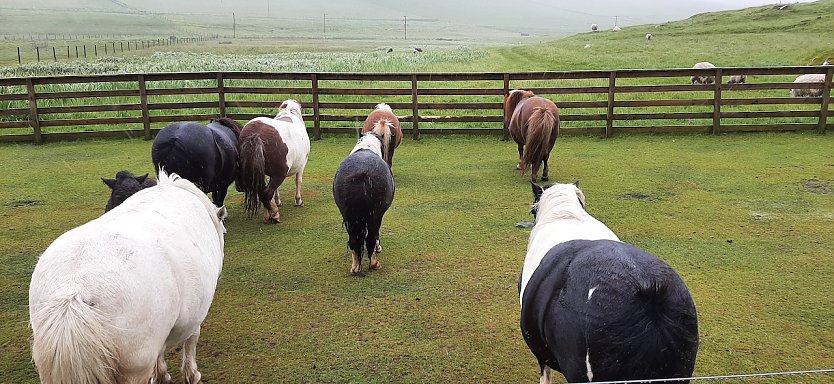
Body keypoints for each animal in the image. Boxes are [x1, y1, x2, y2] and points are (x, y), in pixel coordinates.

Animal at [29, 171, 226, 384]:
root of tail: (74, 292)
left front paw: (161, 374)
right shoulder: (196, 314)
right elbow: (191, 340)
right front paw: (191, 373)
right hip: (135, 365)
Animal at [332, 121, 394, 276]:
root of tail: (362, 172)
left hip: (348, 215)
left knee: (354, 240)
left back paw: (355, 268)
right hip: (375, 214)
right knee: (371, 236)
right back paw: (374, 264)